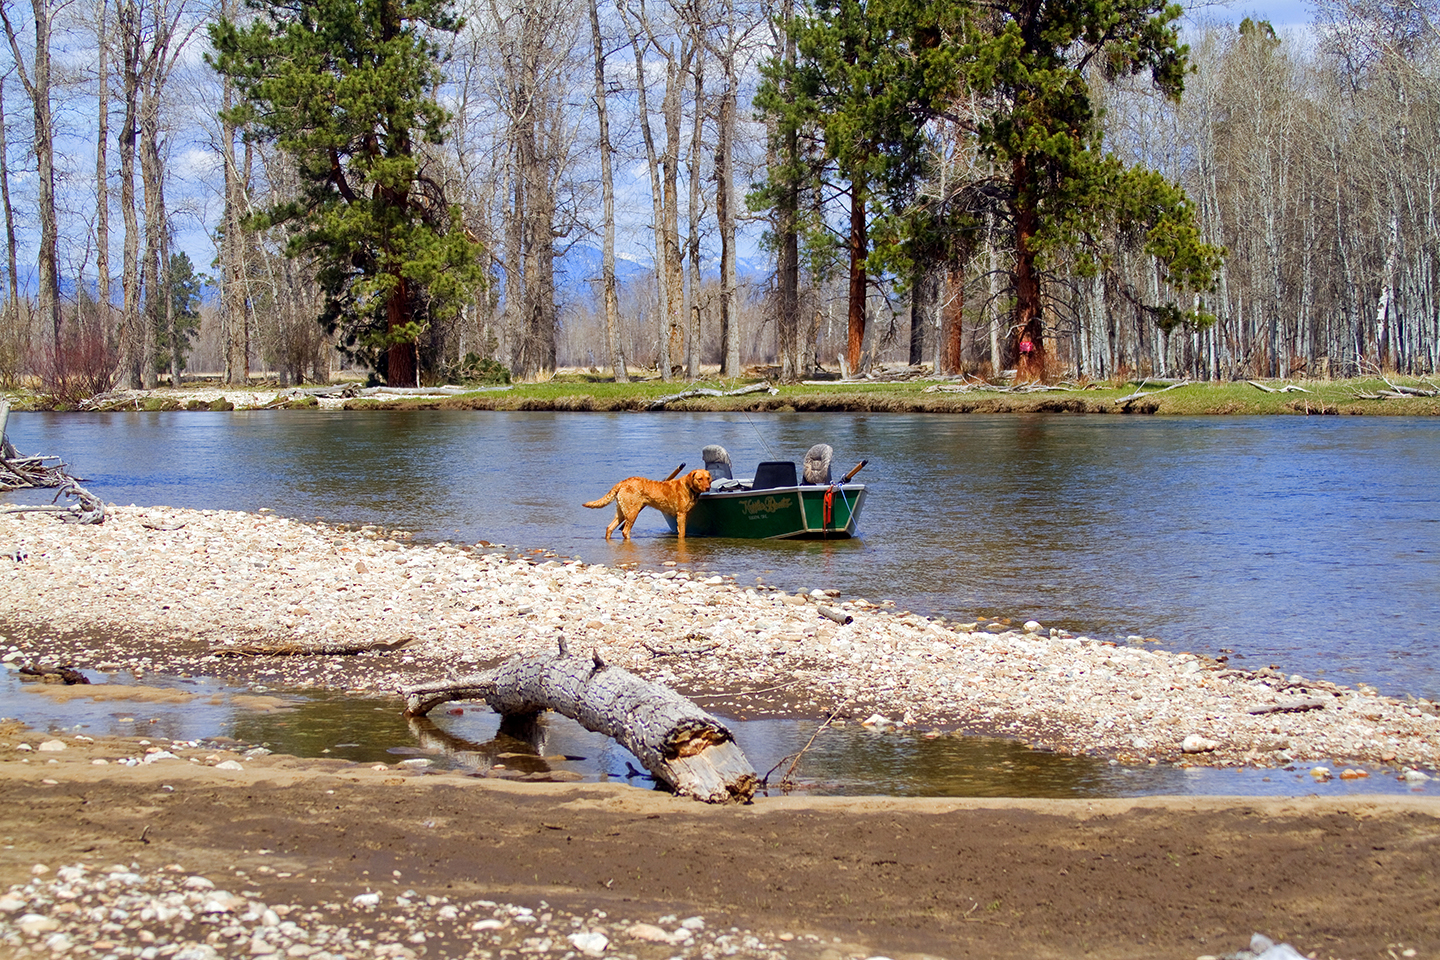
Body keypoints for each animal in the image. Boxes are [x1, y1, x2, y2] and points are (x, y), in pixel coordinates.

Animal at [584, 466, 714, 541]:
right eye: (699, 479)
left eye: (708, 478)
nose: (708, 488)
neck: (689, 487)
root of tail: (622, 482)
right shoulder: (681, 514)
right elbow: (681, 533)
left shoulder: (685, 515)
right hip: (632, 512)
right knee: (625, 531)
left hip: (621, 512)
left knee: (609, 528)